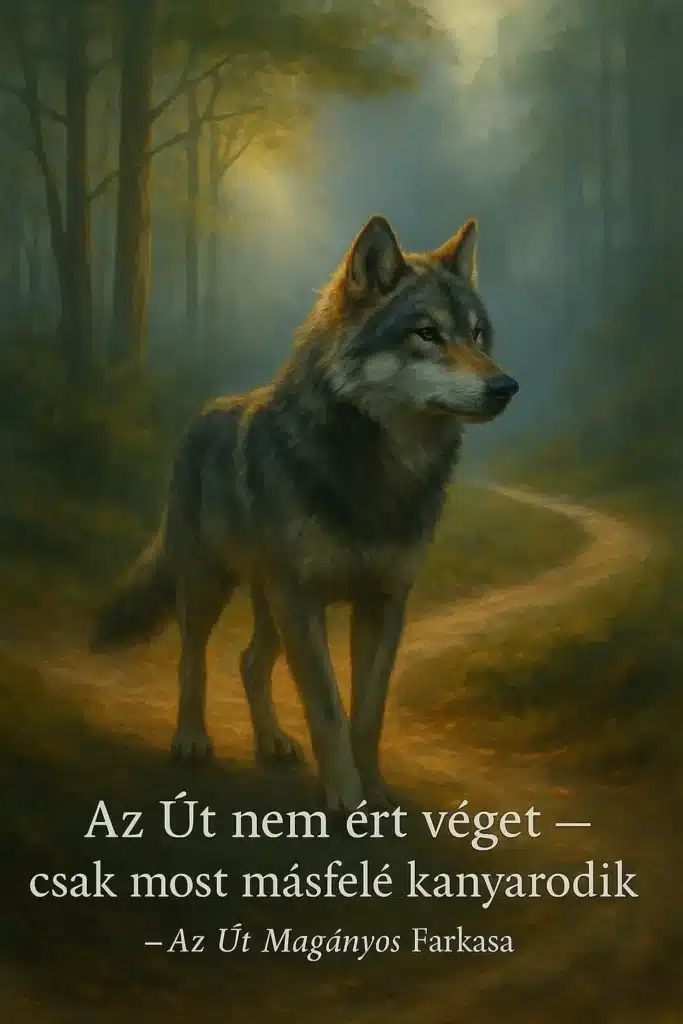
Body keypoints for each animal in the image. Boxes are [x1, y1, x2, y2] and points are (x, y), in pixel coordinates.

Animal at [91, 214, 518, 812]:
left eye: (477, 334)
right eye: (427, 333)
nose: (506, 386)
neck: (379, 473)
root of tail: (201, 416)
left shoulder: (384, 602)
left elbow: (368, 713)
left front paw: (375, 790)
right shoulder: (302, 599)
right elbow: (327, 709)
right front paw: (344, 797)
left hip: (268, 603)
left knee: (250, 662)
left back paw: (271, 741)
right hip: (210, 586)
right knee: (192, 658)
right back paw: (191, 738)